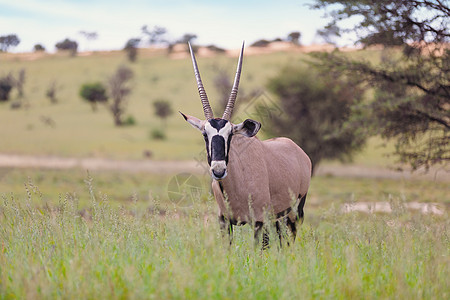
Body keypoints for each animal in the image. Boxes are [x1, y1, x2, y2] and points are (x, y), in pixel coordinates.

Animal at [181, 42, 312, 246]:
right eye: (205, 134)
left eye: (230, 135)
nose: (218, 171)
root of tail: (299, 152)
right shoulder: (224, 222)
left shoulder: (259, 222)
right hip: (278, 217)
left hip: (294, 212)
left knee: (289, 240)